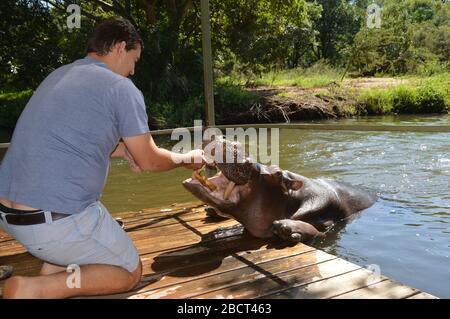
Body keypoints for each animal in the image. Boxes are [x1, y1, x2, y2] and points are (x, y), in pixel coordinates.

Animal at [183, 136, 376, 244]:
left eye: (277, 173)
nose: (230, 142)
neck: (293, 196)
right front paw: (218, 233)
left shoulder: (330, 222)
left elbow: (320, 232)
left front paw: (287, 228)